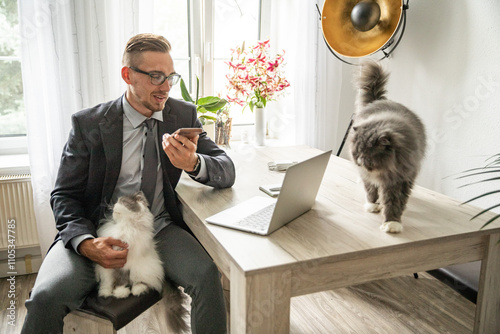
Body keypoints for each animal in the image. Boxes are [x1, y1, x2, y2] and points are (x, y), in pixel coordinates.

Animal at [348, 60, 426, 232]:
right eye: (357, 153)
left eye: (368, 155)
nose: (359, 161)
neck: (384, 170)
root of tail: (379, 101)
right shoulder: (368, 176)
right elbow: (371, 190)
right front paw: (372, 205)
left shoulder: (400, 180)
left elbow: (394, 203)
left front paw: (392, 224)